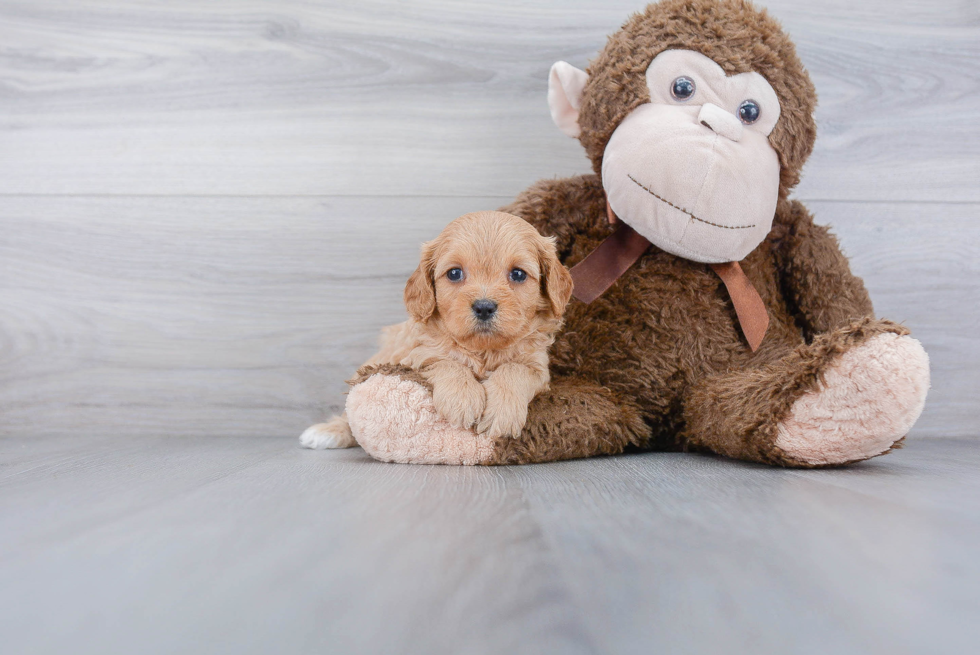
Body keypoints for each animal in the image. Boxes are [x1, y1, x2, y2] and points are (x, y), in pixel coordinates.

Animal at [298, 211, 576, 452]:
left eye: (518, 274)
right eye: (454, 273)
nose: (484, 307)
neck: (483, 349)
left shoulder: (537, 367)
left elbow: (515, 369)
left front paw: (502, 412)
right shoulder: (418, 355)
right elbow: (446, 362)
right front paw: (462, 400)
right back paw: (328, 432)